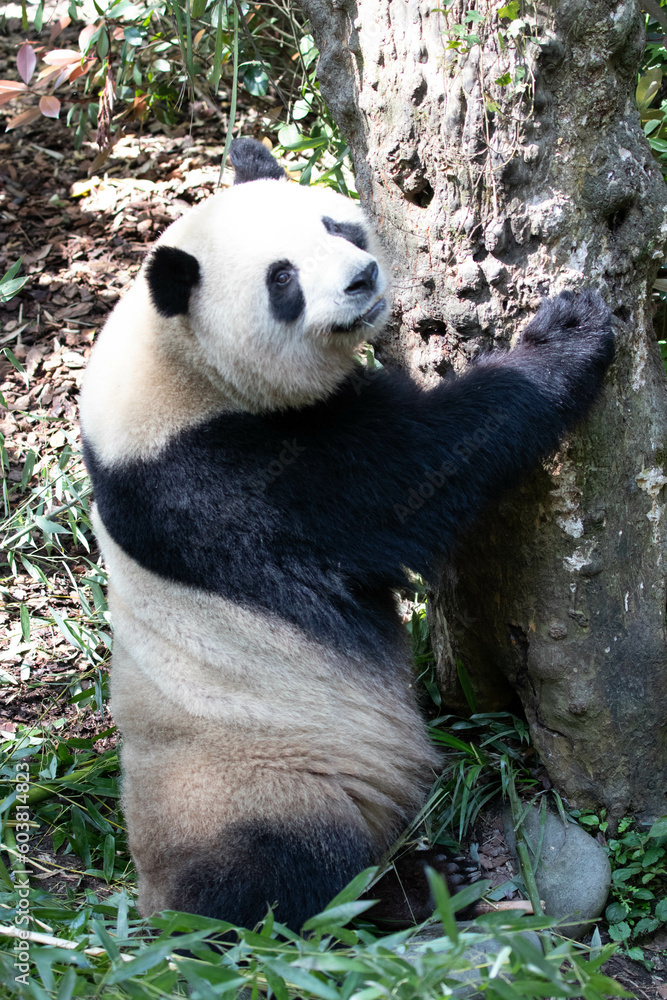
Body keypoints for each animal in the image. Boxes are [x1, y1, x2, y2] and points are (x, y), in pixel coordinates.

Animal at [79, 137, 614, 931]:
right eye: (282, 280)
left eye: (337, 226)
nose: (363, 279)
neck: (172, 362)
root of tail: (154, 905)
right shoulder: (225, 474)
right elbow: (420, 473)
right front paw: (568, 333)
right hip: (248, 780)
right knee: (286, 877)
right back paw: (414, 884)